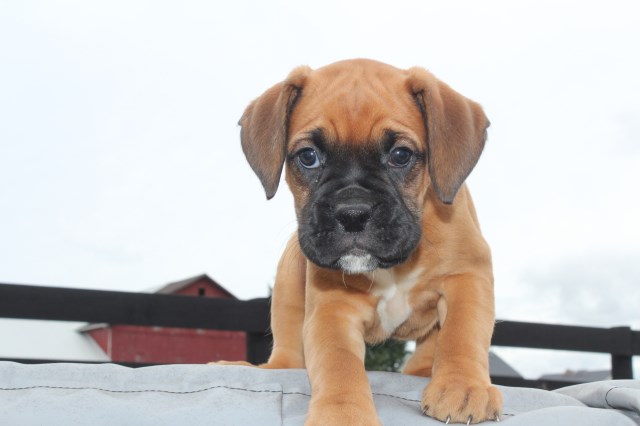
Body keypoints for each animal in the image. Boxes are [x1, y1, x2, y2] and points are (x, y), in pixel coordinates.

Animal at [228, 58, 502, 424]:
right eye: (308, 157)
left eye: (401, 155)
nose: (353, 213)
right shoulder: (332, 310)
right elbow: (339, 365)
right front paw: (343, 413)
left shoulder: (467, 277)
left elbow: (462, 332)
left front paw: (462, 386)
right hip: (287, 283)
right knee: (287, 352)